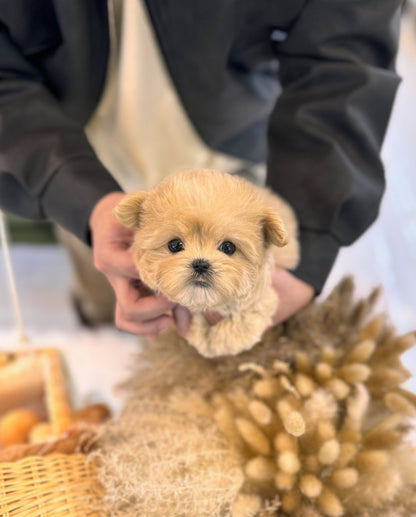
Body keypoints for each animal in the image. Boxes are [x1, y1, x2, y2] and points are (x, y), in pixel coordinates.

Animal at [114, 168, 300, 354]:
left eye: (228, 247)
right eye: (175, 245)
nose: (201, 264)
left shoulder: (263, 294)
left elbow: (246, 315)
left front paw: (221, 340)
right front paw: (199, 333)